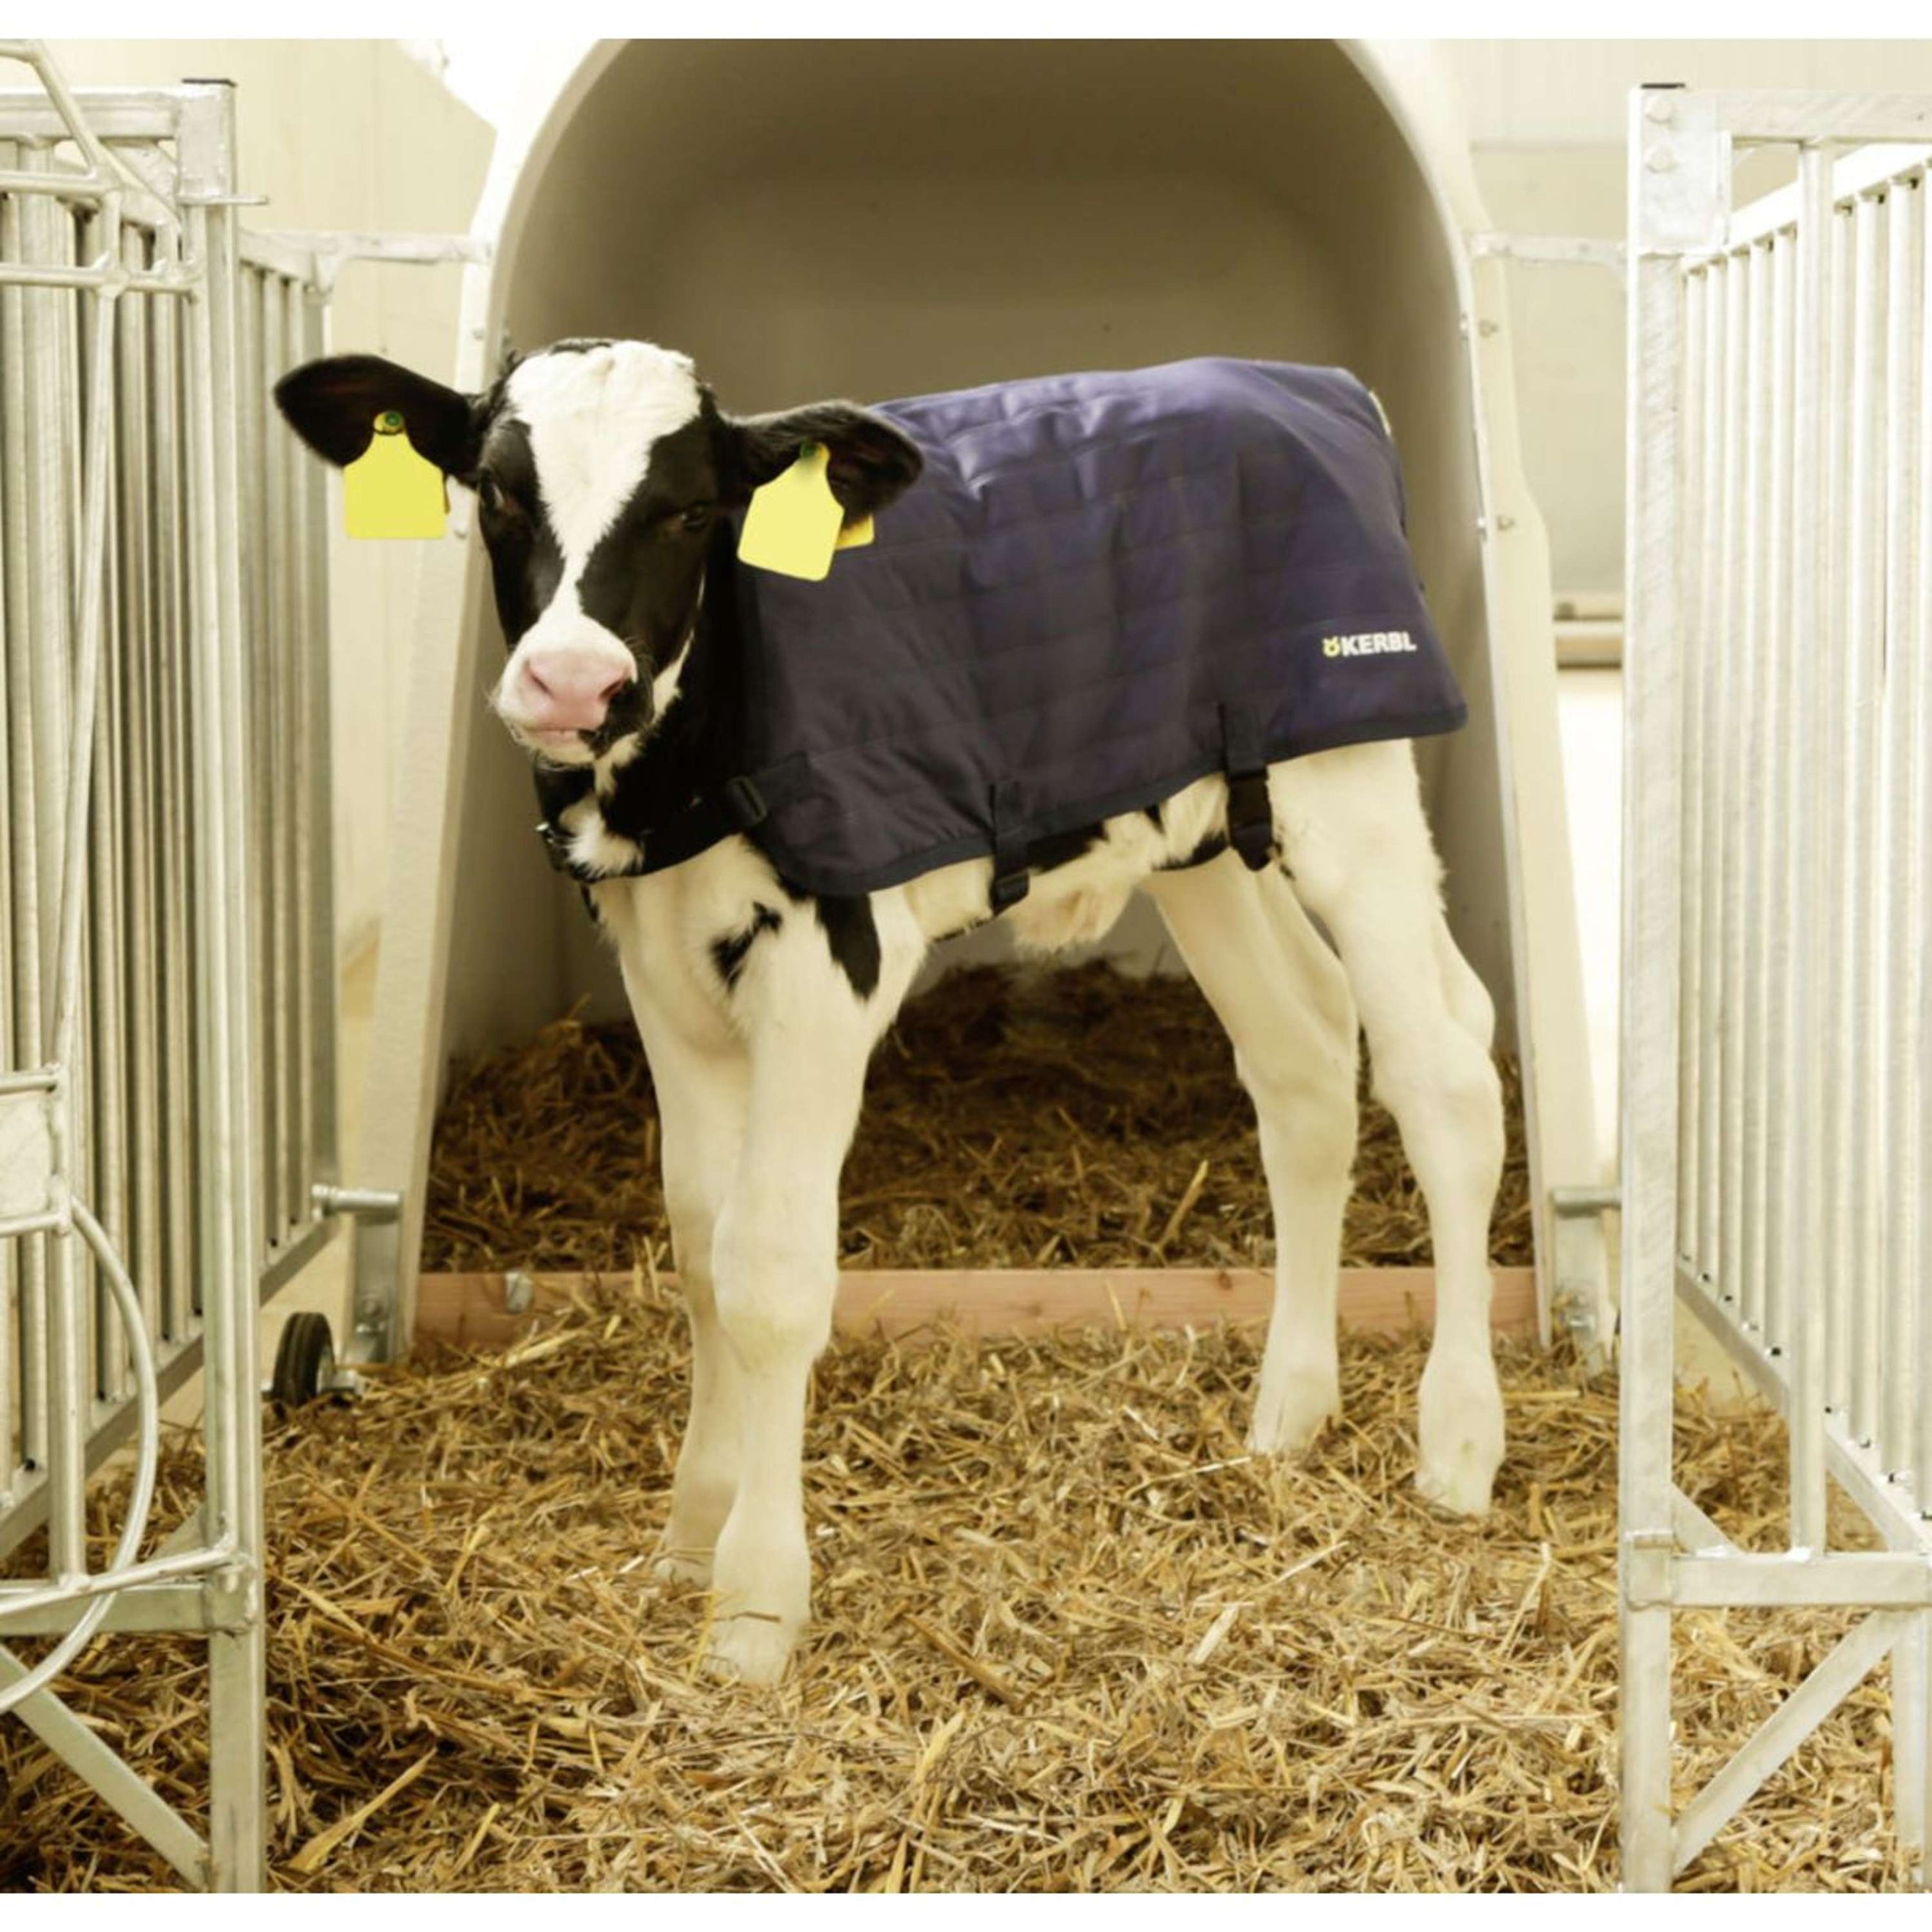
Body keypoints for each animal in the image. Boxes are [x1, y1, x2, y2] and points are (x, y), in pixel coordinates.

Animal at [276, 339, 1507, 1686]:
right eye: (497, 489)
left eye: (695, 511)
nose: (574, 679)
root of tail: (1307, 379)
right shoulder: (662, 971)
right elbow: (699, 1248)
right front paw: (691, 1536)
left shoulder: (829, 967)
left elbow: (768, 1275)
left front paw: (755, 1611)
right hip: (1209, 834)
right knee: (1304, 1054)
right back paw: (1290, 1408)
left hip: (1355, 785)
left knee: (1448, 1071)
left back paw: (1459, 1444)